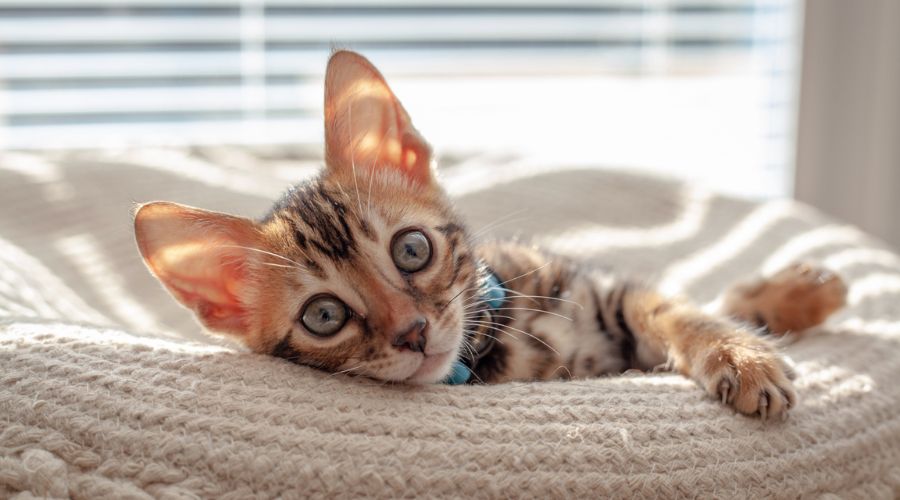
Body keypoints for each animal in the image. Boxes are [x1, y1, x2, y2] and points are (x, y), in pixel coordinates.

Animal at [132, 49, 844, 418]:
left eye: (411, 249)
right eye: (324, 315)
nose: (413, 333)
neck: (499, 342)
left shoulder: (600, 292)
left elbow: (683, 308)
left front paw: (750, 348)